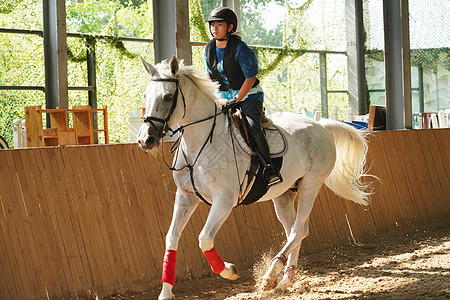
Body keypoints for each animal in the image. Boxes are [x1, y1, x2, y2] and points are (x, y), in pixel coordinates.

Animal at [137, 56, 372, 300]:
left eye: (167, 96)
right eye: (145, 95)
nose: (145, 139)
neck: (200, 142)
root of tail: (321, 127)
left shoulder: (224, 200)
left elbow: (204, 238)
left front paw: (229, 271)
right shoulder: (186, 196)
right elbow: (171, 237)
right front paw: (166, 292)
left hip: (311, 185)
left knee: (298, 229)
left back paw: (271, 274)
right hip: (284, 195)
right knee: (295, 230)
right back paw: (286, 279)